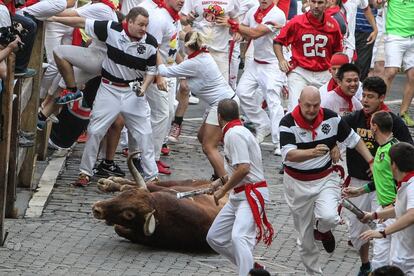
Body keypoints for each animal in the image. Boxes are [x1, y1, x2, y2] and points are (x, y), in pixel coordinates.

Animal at [92, 152, 228, 251]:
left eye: (129, 214)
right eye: (126, 196)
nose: (96, 209)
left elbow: (118, 228)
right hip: (182, 184)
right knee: (149, 184)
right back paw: (109, 183)